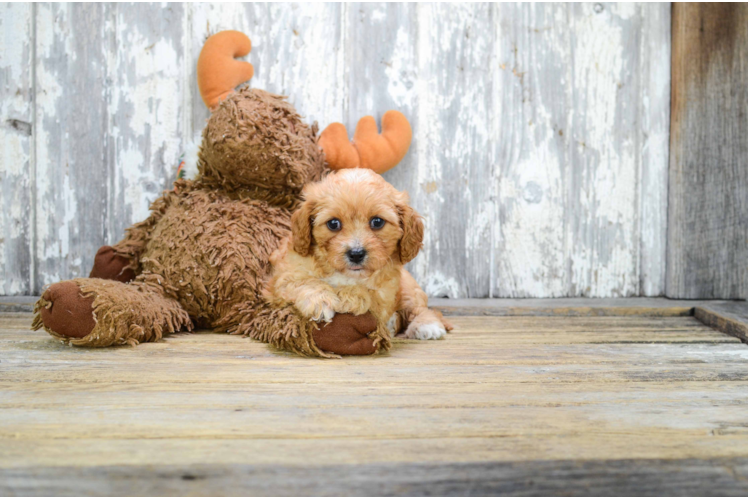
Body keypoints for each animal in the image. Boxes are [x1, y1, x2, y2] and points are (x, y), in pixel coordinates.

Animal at [268, 168, 456, 352]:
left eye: (377, 222)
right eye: (333, 223)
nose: (356, 254)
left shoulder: (385, 292)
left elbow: (365, 292)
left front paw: (344, 298)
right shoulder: (281, 279)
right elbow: (302, 282)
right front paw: (321, 300)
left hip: (409, 288)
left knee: (420, 309)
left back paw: (426, 325)